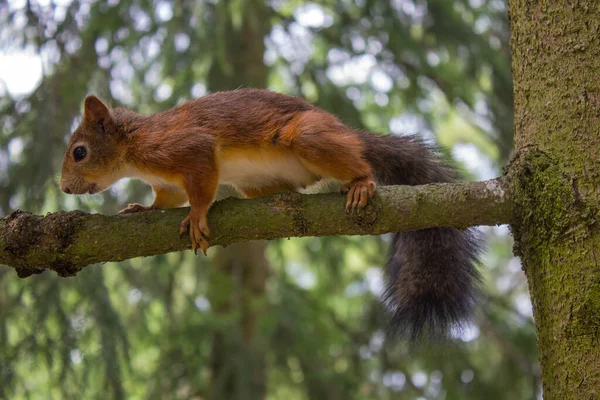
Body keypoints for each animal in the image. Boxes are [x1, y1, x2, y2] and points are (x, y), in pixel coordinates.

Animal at [61, 89, 480, 340]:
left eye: (79, 152)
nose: (63, 188)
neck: (133, 146)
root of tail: (345, 131)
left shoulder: (187, 148)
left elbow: (200, 189)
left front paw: (197, 215)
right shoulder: (166, 182)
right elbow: (166, 198)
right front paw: (141, 208)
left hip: (309, 137)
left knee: (359, 163)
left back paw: (361, 181)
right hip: (259, 182)